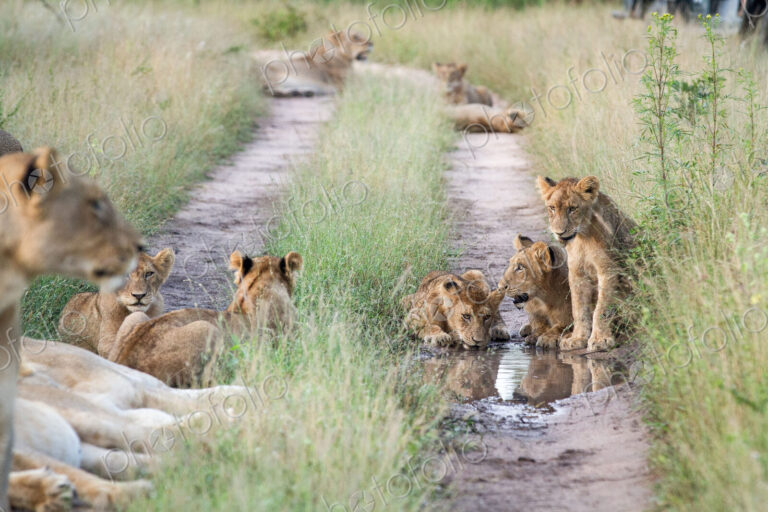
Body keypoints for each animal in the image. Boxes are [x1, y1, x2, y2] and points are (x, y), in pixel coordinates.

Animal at [537, 175, 636, 351]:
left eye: (572, 209)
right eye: (552, 208)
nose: (559, 233)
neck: (583, 238)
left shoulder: (607, 270)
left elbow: (601, 308)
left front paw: (600, 339)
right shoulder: (577, 273)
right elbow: (578, 309)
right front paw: (577, 338)